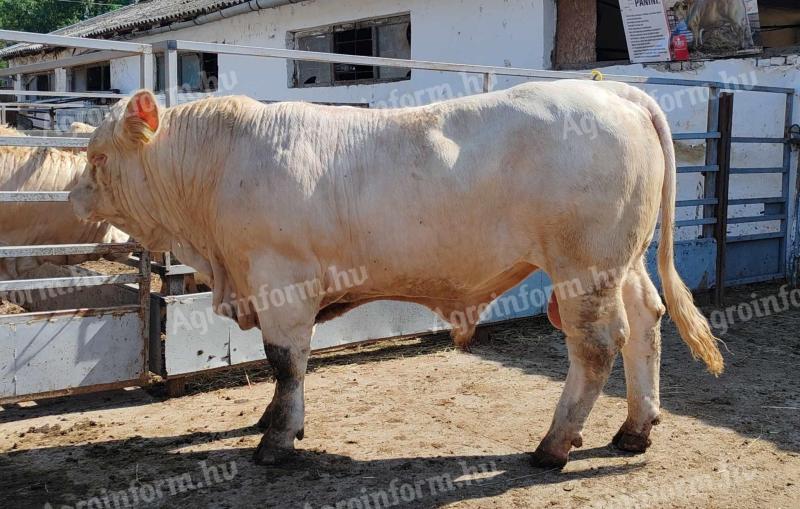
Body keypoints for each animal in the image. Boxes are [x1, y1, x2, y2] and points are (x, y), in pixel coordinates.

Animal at [70, 82, 724, 468]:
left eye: (98, 158)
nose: (74, 198)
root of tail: (614, 90)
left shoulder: (283, 279)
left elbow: (286, 363)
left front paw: (276, 439)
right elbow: (284, 368)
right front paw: (275, 421)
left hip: (583, 265)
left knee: (595, 346)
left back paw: (553, 446)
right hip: (623, 260)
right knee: (646, 321)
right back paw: (635, 429)